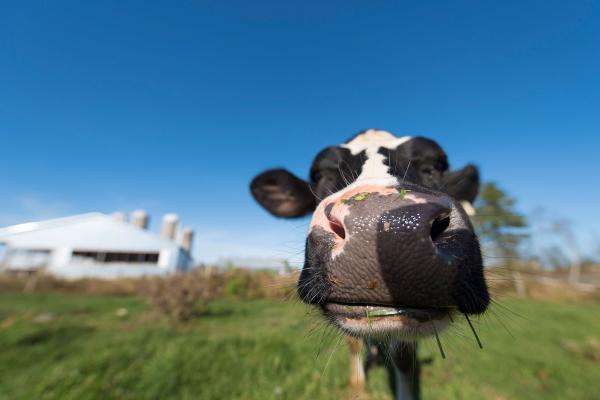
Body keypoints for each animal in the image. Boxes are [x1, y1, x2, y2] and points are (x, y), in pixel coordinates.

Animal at [248, 130, 488, 398]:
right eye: (319, 174)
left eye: (436, 165)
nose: (386, 224)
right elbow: (354, 343)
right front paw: (358, 387)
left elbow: (403, 357)